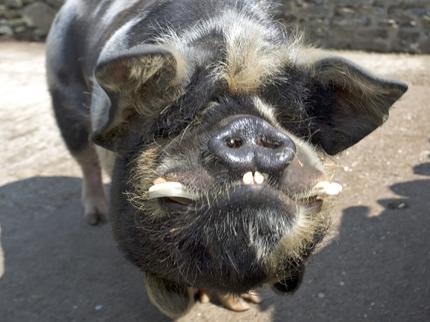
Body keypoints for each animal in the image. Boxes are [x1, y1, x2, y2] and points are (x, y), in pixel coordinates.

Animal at [46, 0, 406, 316]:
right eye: (181, 117)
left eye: (286, 117)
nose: (247, 125)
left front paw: (245, 303)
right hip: (61, 99)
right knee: (85, 161)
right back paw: (95, 218)